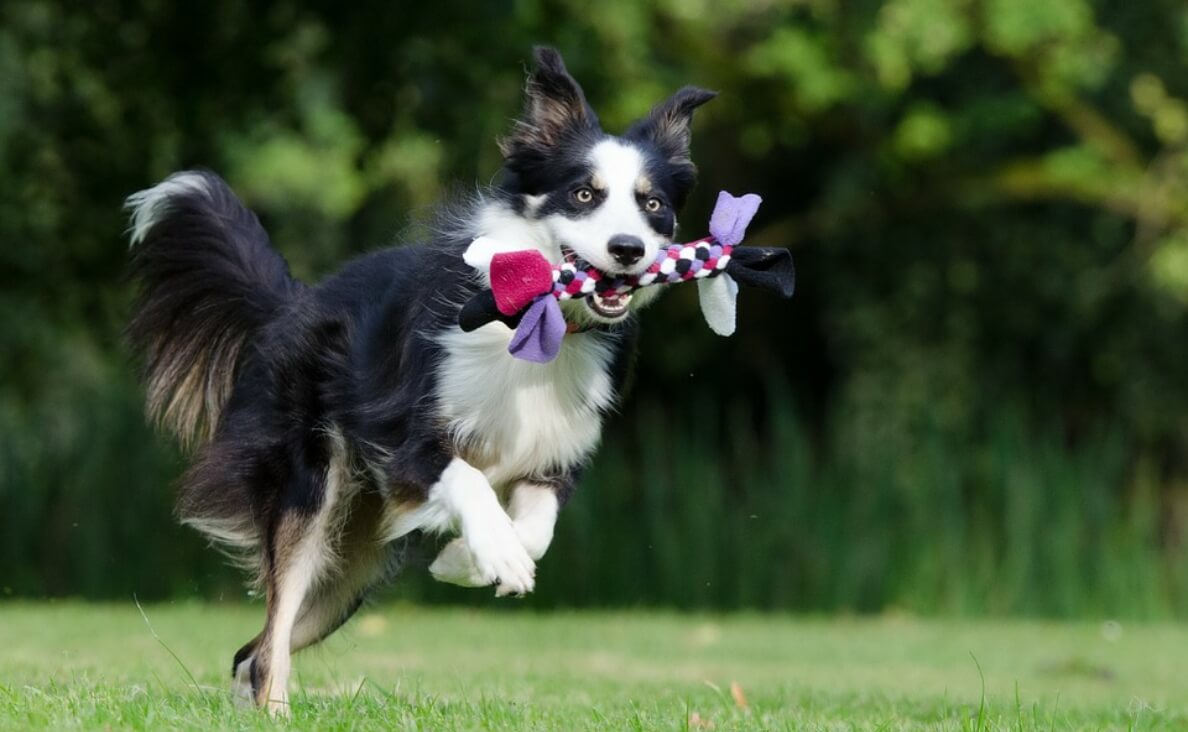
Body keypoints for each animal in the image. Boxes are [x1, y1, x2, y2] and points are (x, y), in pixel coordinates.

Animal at [127, 48, 712, 712]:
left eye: (653, 204)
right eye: (585, 193)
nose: (629, 249)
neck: (539, 323)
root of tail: (293, 303)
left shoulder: (556, 453)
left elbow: (537, 528)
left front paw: (468, 560)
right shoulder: (402, 436)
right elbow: (469, 480)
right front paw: (495, 554)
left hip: (350, 566)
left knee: (251, 650)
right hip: (311, 490)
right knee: (271, 637)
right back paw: (276, 714)